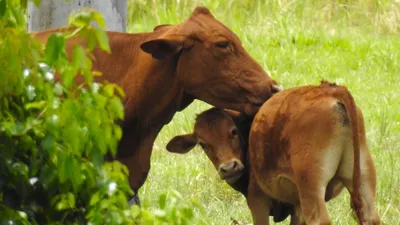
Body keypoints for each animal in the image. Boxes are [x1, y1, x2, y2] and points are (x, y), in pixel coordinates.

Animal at [167, 81, 380, 225]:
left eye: (233, 132)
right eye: (203, 144)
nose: (229, 168)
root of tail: (332, 91)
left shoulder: (258, 202)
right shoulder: (296, 206)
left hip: (311, 188)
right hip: (363, 179)